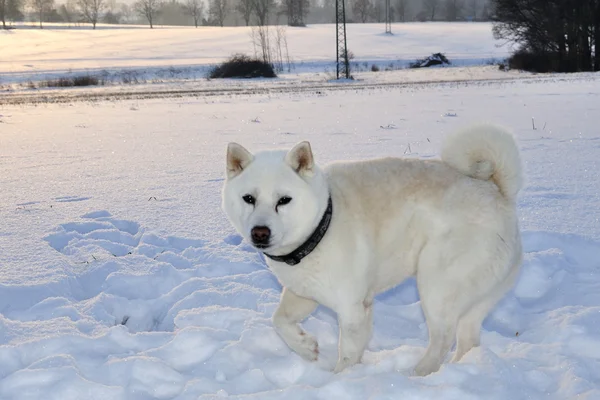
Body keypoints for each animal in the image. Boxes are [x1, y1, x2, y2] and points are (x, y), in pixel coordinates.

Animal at [223, 124, 524, 376]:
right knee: (468, 339)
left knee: (443, 338)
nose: (260, 232)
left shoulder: (353, 309)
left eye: (284, 200)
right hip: (475, 298)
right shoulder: (303, 294)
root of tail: (498, 191)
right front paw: (306, 348)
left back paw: (417, 374)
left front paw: (340, 379)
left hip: (436, 284)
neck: (323, 223)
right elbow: (279, 320)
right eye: (248, 198)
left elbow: (347, 355)